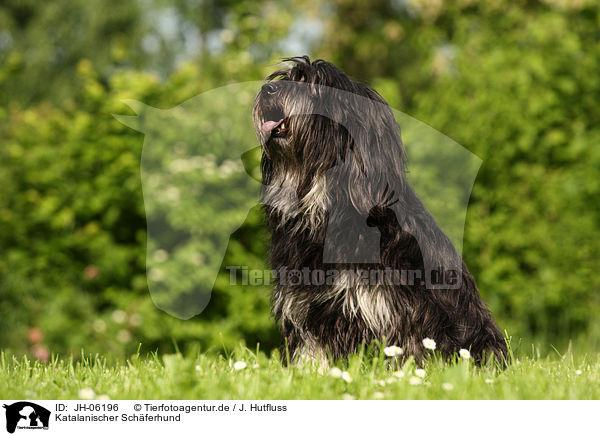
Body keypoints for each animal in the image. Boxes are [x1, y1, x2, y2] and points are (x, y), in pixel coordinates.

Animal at [253, 57, 506, 364]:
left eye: (313, 85)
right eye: (285, 78)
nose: (267, 89)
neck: (326, 208)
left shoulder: (395, 311)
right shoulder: (305, 307)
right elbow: (311, 354)